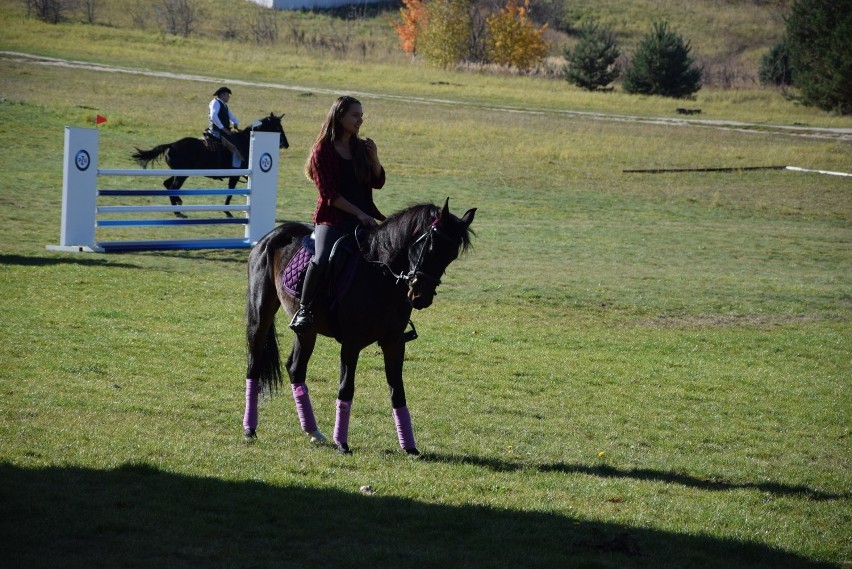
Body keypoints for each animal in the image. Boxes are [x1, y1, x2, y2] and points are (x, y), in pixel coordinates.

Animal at [131, 113, 290, 217]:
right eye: (278, 126)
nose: (286, 144)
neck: (247, 142)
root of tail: (172, 144)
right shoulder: (235, 176)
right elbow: (230, 192)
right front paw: (227, 212)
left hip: (178, 173)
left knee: (167, 184)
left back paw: (177, 206)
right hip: (182, 175)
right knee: (172, 187)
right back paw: (178, 211)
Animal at [243, 197, 476, 454]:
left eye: (451, 256)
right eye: (432, 248)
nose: (421, 297)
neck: (380, 273)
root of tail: (271, 236)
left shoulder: (394, 342)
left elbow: (397, 391)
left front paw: (409, 447)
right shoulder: (351, 343)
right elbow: (346, 387)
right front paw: (342, 443)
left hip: (307, 331)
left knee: (295, 368)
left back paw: (313, 431)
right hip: (260, 315)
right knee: (254, 365)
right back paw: (250, 429)